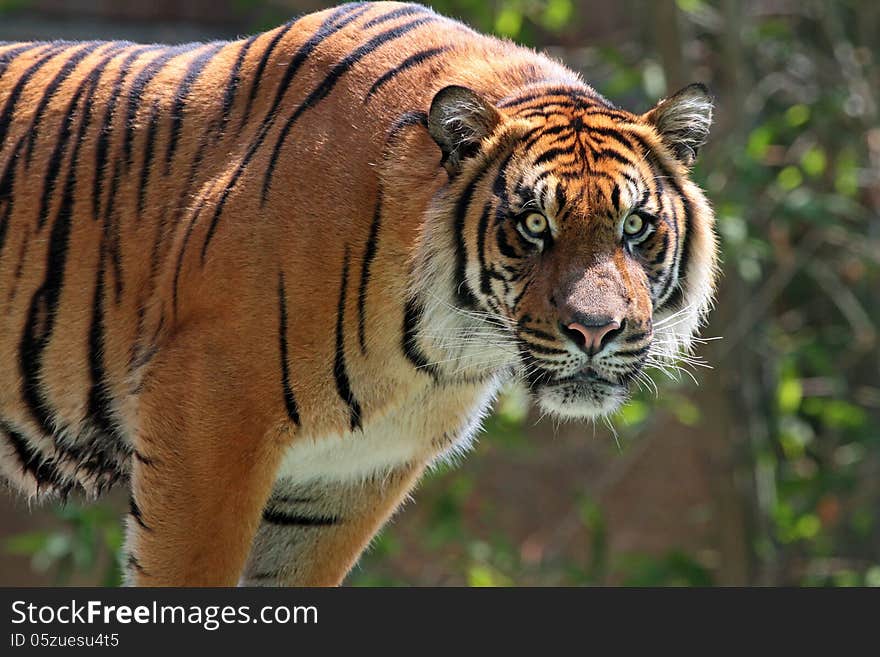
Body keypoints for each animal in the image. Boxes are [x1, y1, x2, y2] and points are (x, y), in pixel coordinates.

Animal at [0, 0, 716, 584]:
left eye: (635, 226)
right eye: (534, 225)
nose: (596, 331)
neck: (438, 351)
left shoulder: (344, 479)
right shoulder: (204, 424)